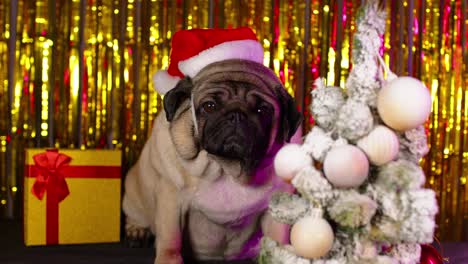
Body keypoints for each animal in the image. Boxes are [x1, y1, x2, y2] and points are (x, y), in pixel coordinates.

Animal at [122, 58, 302, 262]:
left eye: (262, 110)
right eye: (210, 106)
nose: (237, 115)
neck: (225, 169)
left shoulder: (276, 209)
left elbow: (277, 239)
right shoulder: (171, 201)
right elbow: (170, 239)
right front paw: (168, 259)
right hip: (134, 192)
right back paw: (136, 231)